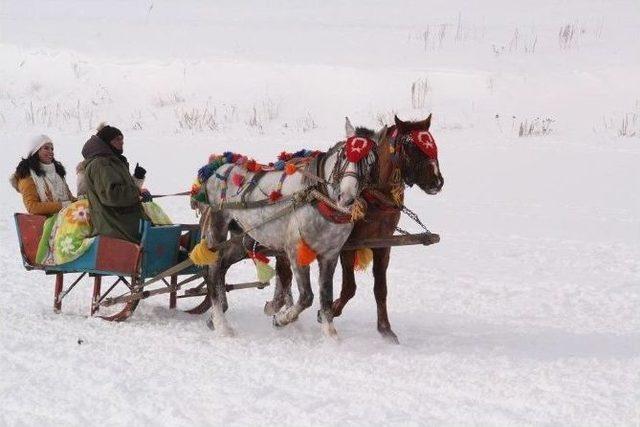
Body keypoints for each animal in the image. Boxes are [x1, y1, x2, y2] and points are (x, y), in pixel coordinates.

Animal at [198, 125, 388, 340]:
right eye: (344, 155)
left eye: (370, 163)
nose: (346, 198)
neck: (317, 197)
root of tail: (216, 170)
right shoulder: (296, 251)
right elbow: (306, 297)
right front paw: (282, 318)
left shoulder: (329, 255)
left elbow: (326, 296)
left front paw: (330, 334)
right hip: (217, 228)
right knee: (213, 270)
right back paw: (222, 325)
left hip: (241, 237)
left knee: (222, 265)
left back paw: (216, 317)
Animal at [266, 114, 444, 344]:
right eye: (410, 146)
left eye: (433, 143)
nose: (437, 181)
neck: (374, 199)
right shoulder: (347, 247)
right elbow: (349, 287)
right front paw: (329, 312)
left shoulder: (383, 246)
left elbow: (380, 289)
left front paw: (385, 330)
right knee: (284, 268)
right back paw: (279, 307)